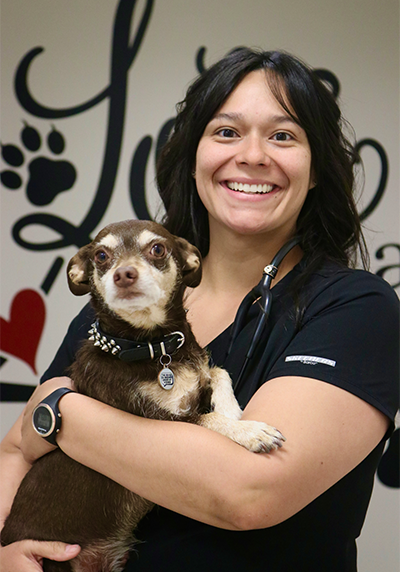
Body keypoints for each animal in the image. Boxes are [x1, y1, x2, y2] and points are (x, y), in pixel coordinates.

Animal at [0, 220, 282, 572]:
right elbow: (208, 419)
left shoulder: (197, 374)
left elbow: (218, 372)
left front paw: (232, 408)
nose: (124, 274)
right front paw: (250, 431)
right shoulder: (161, 418)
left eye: (157, 249)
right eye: (101, 255)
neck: (151, 347)